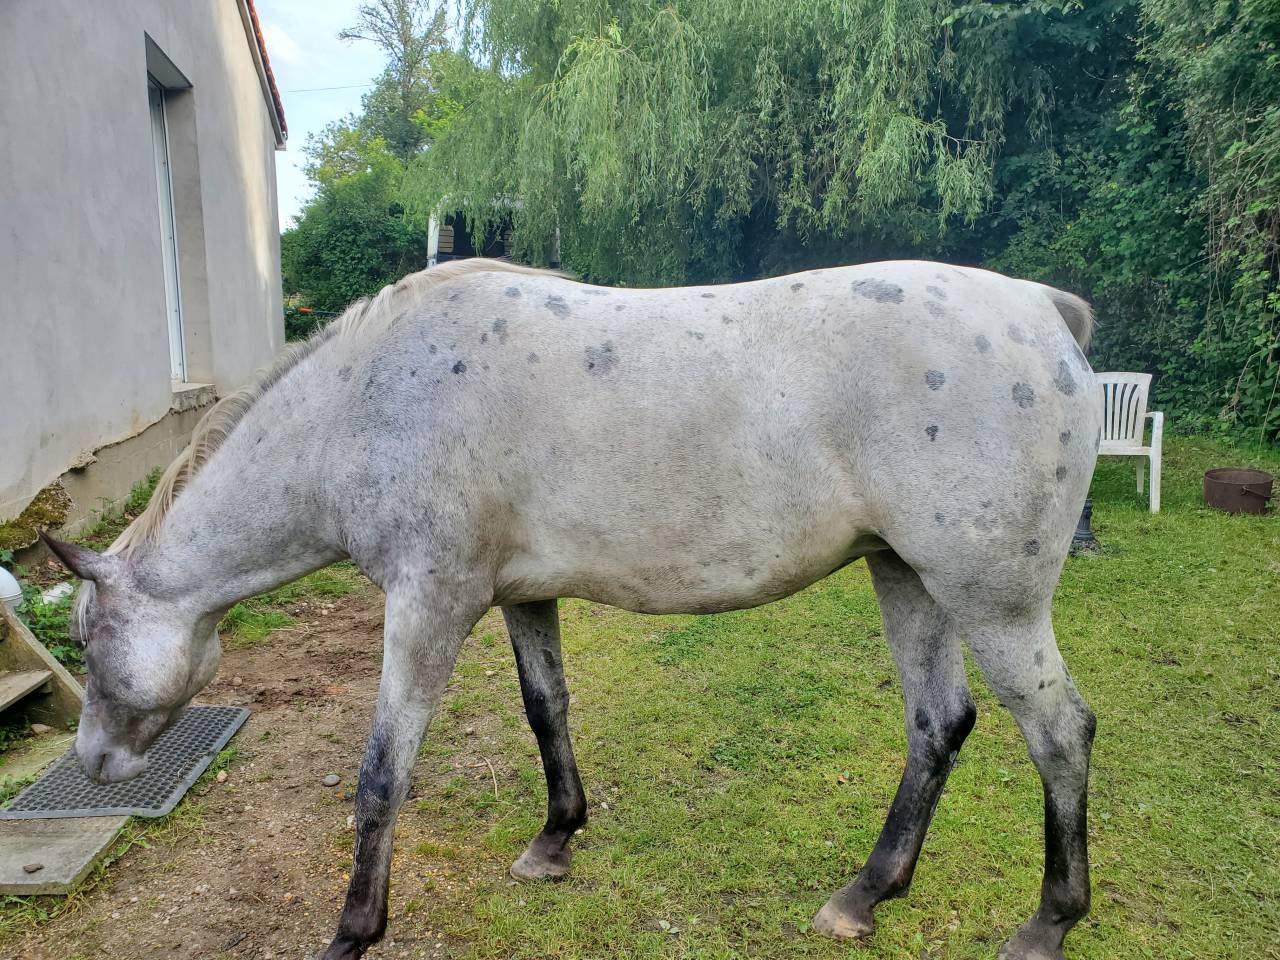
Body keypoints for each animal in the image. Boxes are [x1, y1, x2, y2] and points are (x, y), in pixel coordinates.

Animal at [44, 257, 1101, 960]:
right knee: (939, 726)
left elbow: (383, 775)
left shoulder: (427, 606)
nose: (94, 764)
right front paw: (556, 838)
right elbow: (545, 709)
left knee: (1060, 733)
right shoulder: (523, 597)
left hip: (993, 602)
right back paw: (867, 894)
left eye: (89, 640)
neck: (367, 403)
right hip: (907, 579)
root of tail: (1042, 308)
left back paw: (1047, 922)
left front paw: (352, 932)